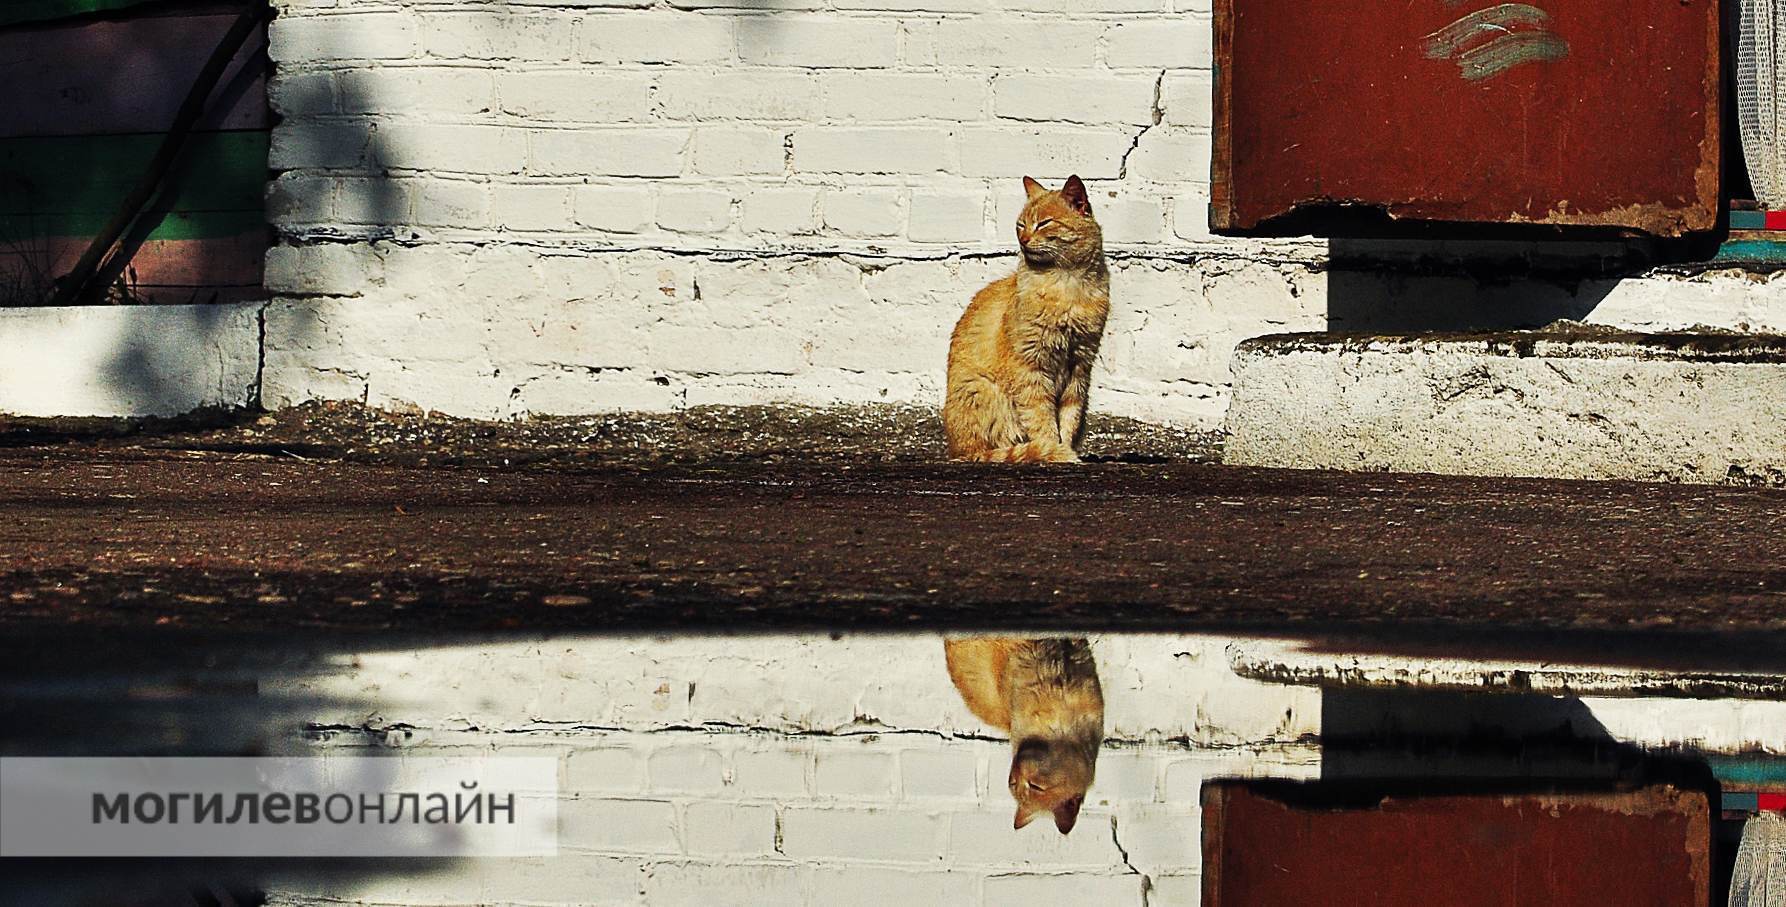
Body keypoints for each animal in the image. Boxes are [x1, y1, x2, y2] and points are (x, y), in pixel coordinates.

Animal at [943, 174, 1107, 464]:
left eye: (1043, 222)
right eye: (1020, 225)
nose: (1023, 239)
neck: (1067, 288)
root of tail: (958, 452)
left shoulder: (1079, 367)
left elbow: (1069, 418)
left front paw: (1066, 449)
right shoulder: (1030, 368)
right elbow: (1042, 419)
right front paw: (1055, 451)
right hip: (983, 389)